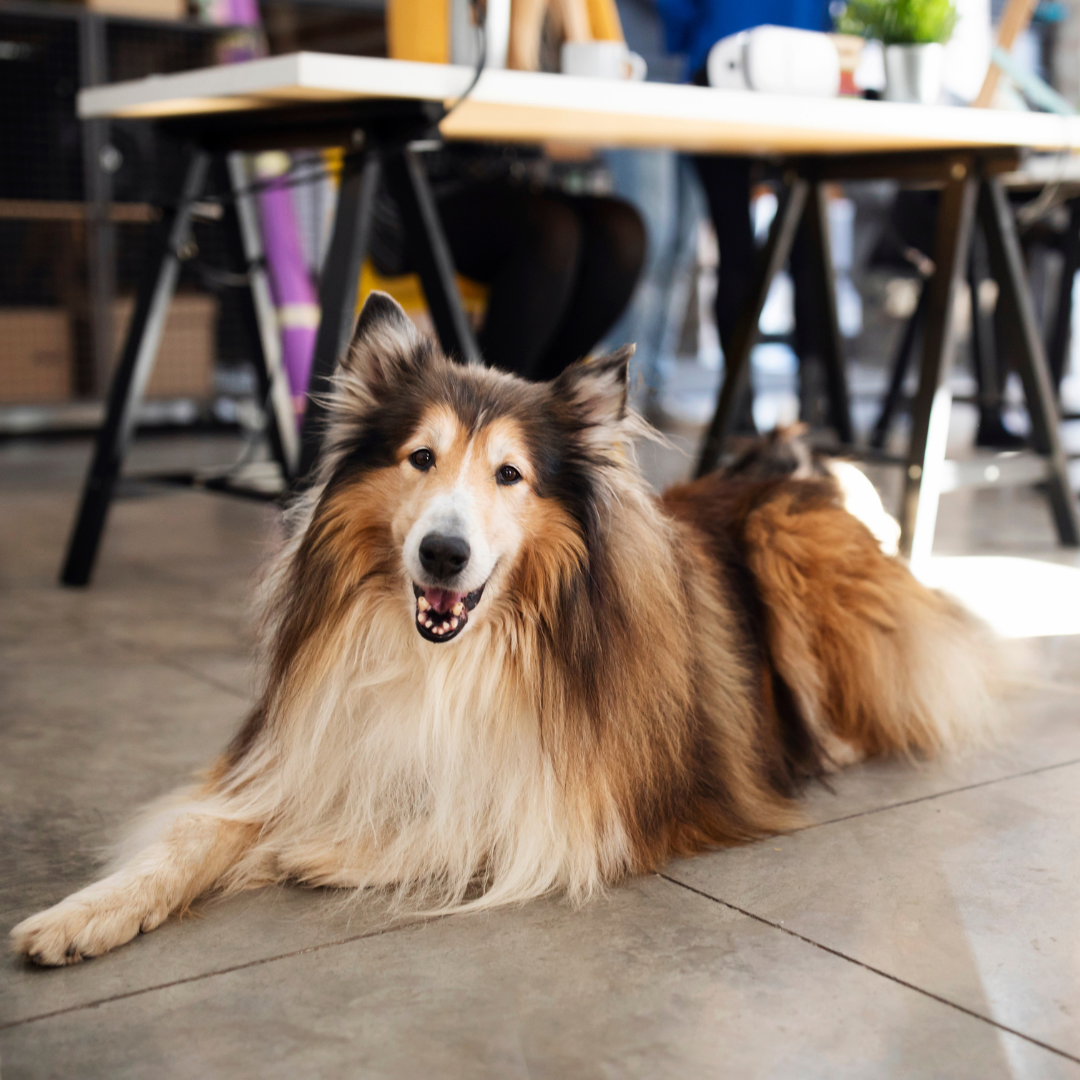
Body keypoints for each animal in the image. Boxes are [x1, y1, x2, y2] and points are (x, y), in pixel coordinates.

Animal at [8, 291, 993, 967]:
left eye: (510, 475)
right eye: (420, 458)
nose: (443, 554)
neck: (455, 657)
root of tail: (794, 471)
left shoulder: (590, 805)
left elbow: (472, 819)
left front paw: (315, 849)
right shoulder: (299, 750)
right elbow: (193, 835)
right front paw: (83, 912)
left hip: (787, 544)